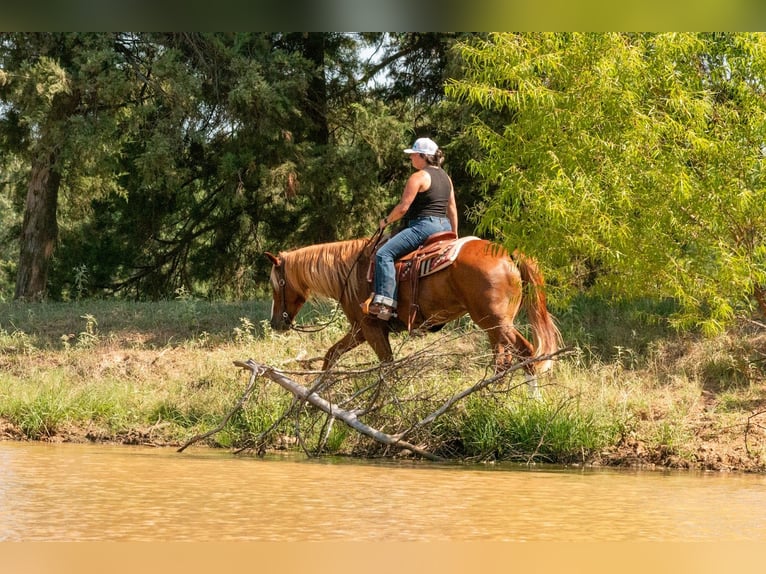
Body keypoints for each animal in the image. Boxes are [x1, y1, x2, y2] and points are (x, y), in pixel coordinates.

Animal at [265, 235, 561, 397]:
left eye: (276, 284)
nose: (276, 322)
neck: (351, 271)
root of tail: (508, 254)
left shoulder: (370, 328)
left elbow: (387, 366)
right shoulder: (360, 330)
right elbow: (331, 355)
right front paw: (317, 390)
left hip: (494, 321)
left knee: (525, 352)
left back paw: (531, 400)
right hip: (494, 326)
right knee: (503, 359)